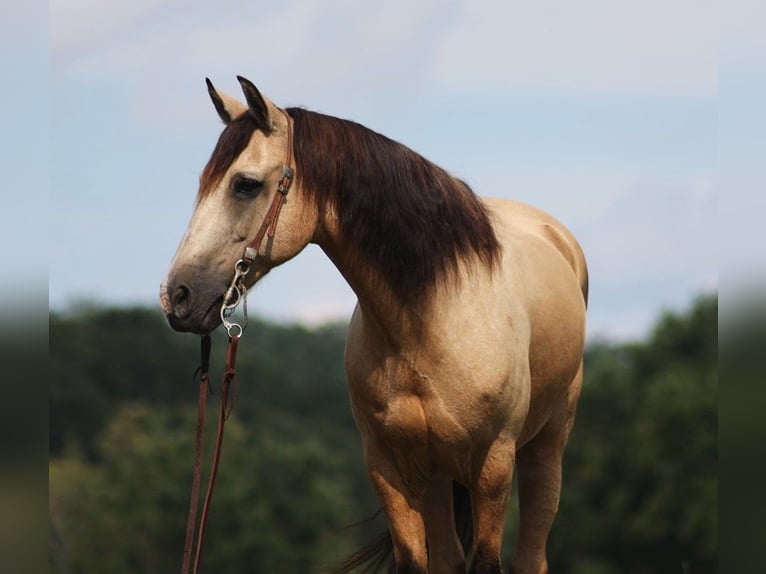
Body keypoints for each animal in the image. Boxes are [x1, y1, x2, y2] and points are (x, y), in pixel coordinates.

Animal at [161, 76, 588, 574]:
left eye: (245, 185)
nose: (177, 296)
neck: (429, 321)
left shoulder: (492, 466)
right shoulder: (388, 466)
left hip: (544, 450)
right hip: (436, 475)